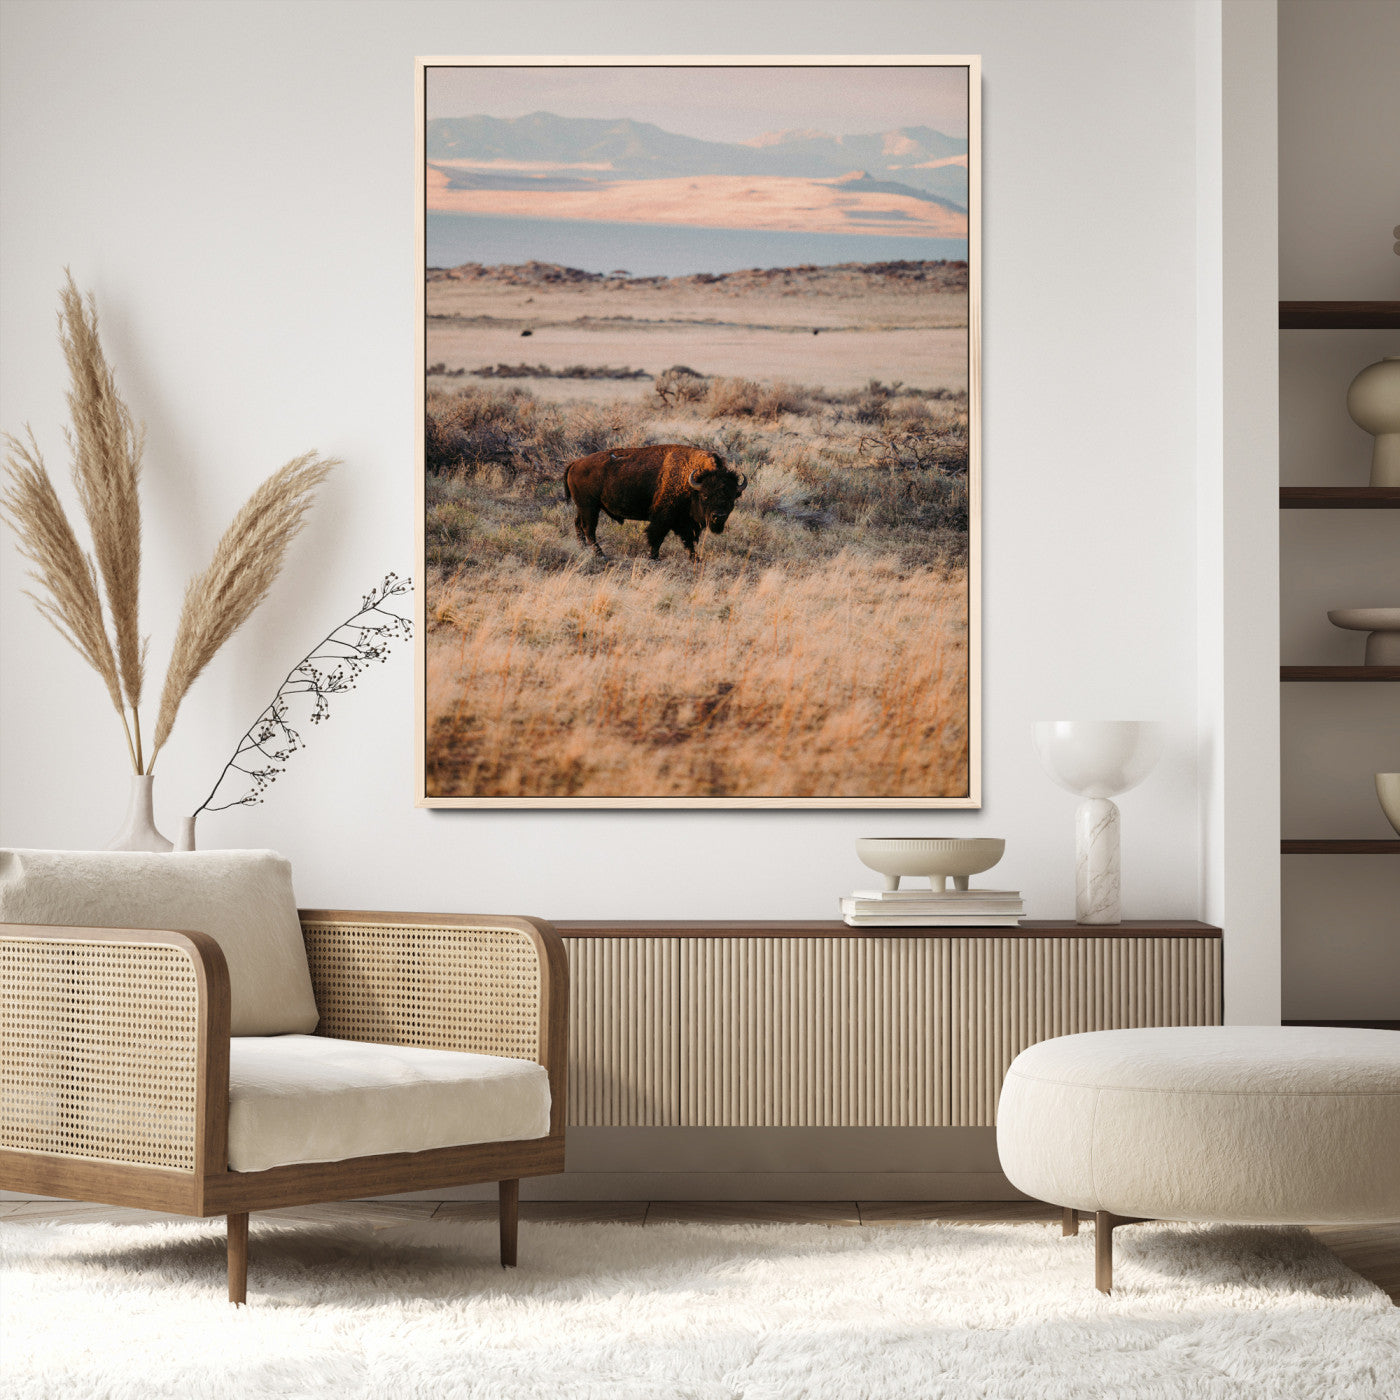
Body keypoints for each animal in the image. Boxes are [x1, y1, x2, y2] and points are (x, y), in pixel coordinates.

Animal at [563, 444, 747, 560]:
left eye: (731, 498)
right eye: (705, 496)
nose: (719, 516)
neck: (691, 483)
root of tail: (575, 463)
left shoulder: (685, 522)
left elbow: (688, 541)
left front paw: (696, 559)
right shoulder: (663, 518)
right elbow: (657, 537)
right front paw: (654, 557)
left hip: (584, 507)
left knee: (578, 525)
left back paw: (584, 549)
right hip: (589, 507)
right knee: (589, 528)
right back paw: (600, 555)